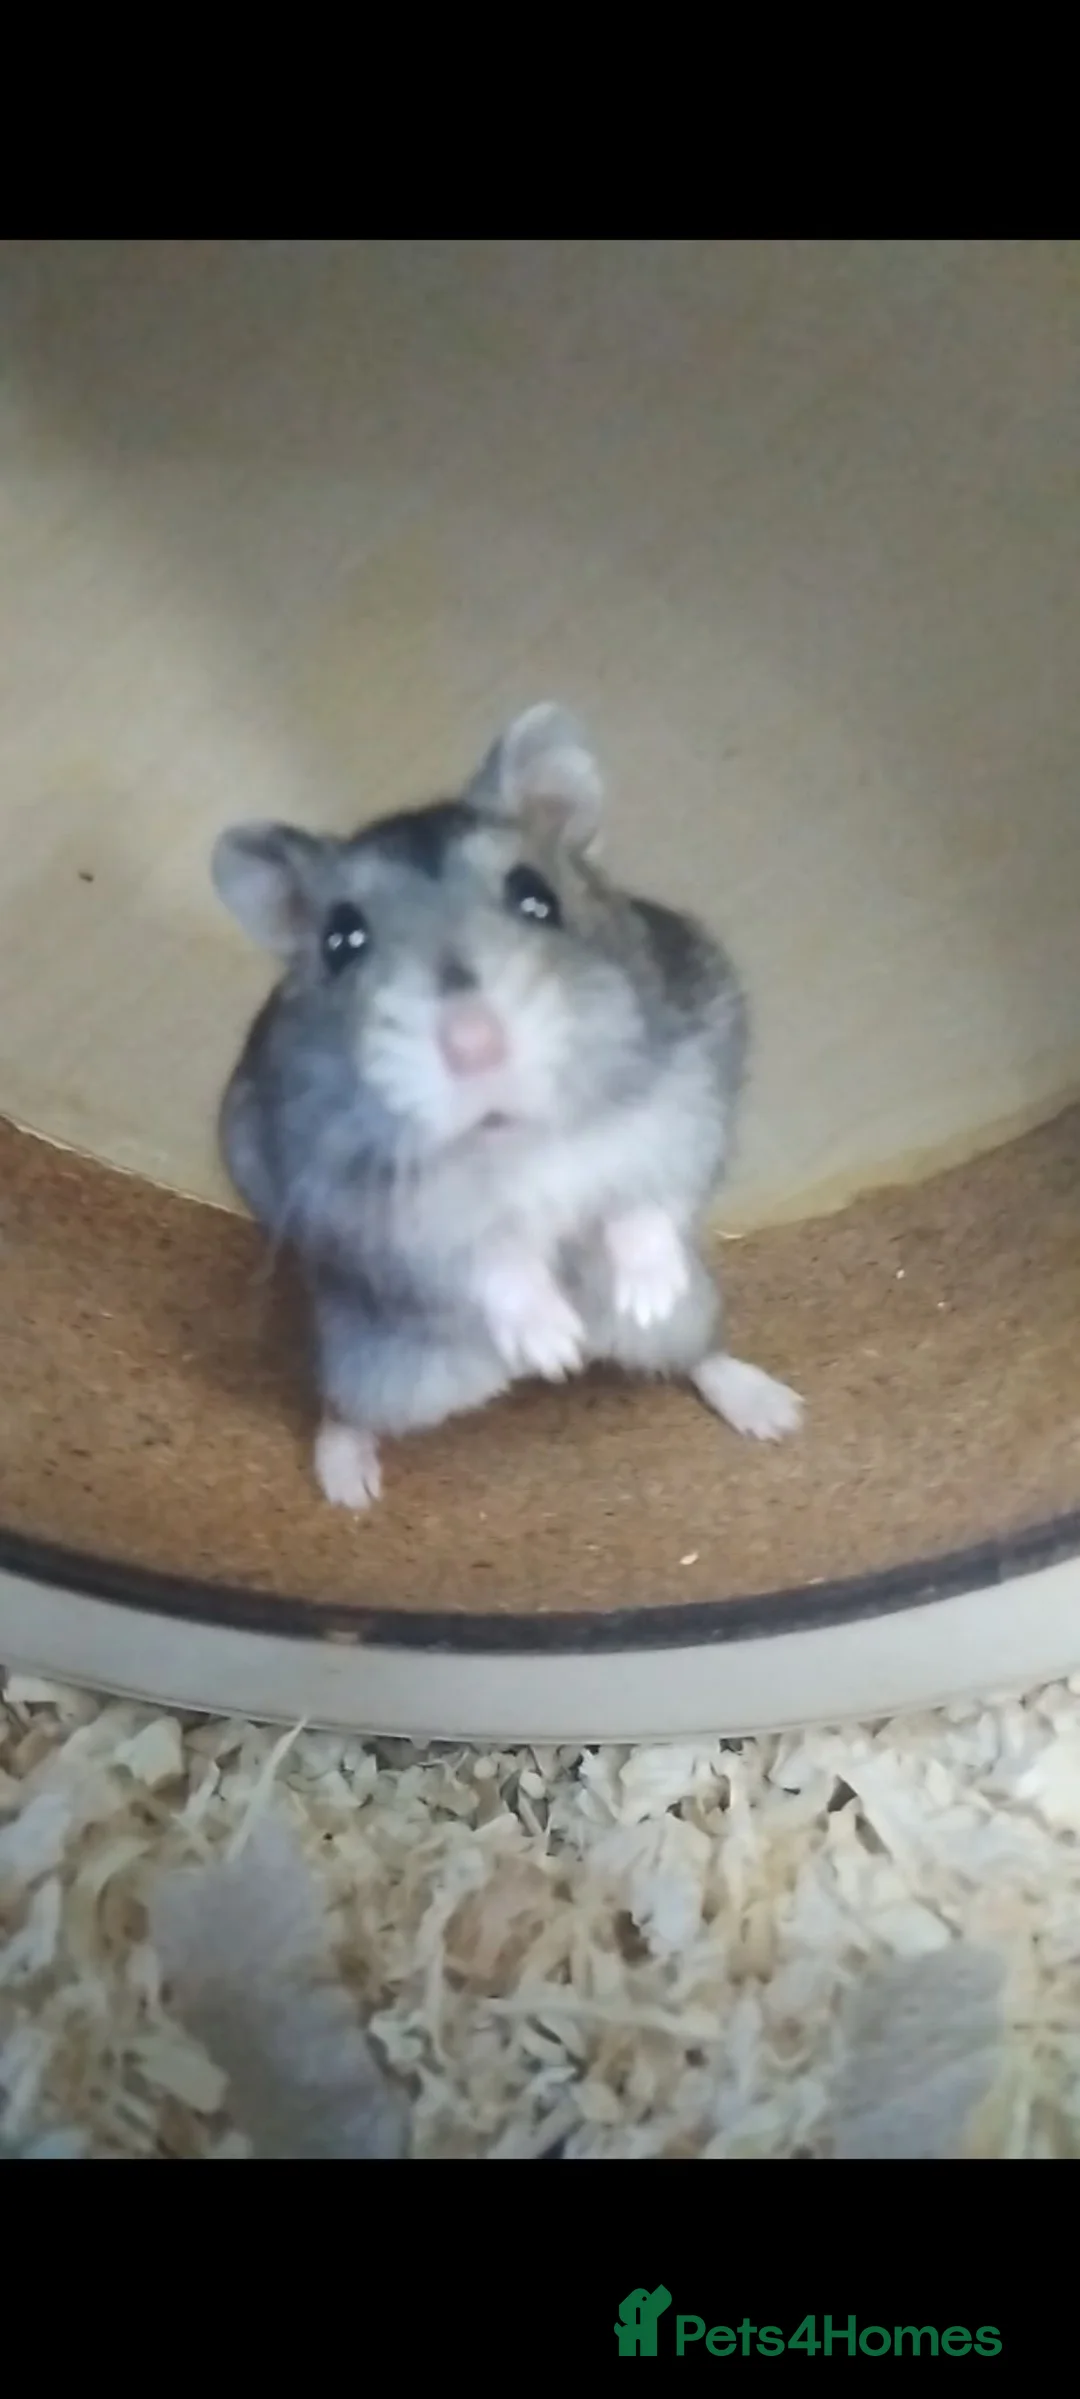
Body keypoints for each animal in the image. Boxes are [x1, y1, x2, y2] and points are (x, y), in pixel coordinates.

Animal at [212, 703, 802, 1509]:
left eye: (536, 896)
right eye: (340, 940)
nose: (473, 1045)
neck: (515, 1139)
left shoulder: (693, 1094)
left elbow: (643, 1200)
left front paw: (642, 1291)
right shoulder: (374, 1213)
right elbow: (491, 1256)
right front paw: (555, 1346)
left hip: (695, 1315)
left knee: (698, 1353)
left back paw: (771, 1408)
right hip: (385, 1368)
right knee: (339, 1406)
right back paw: (352, 1487)